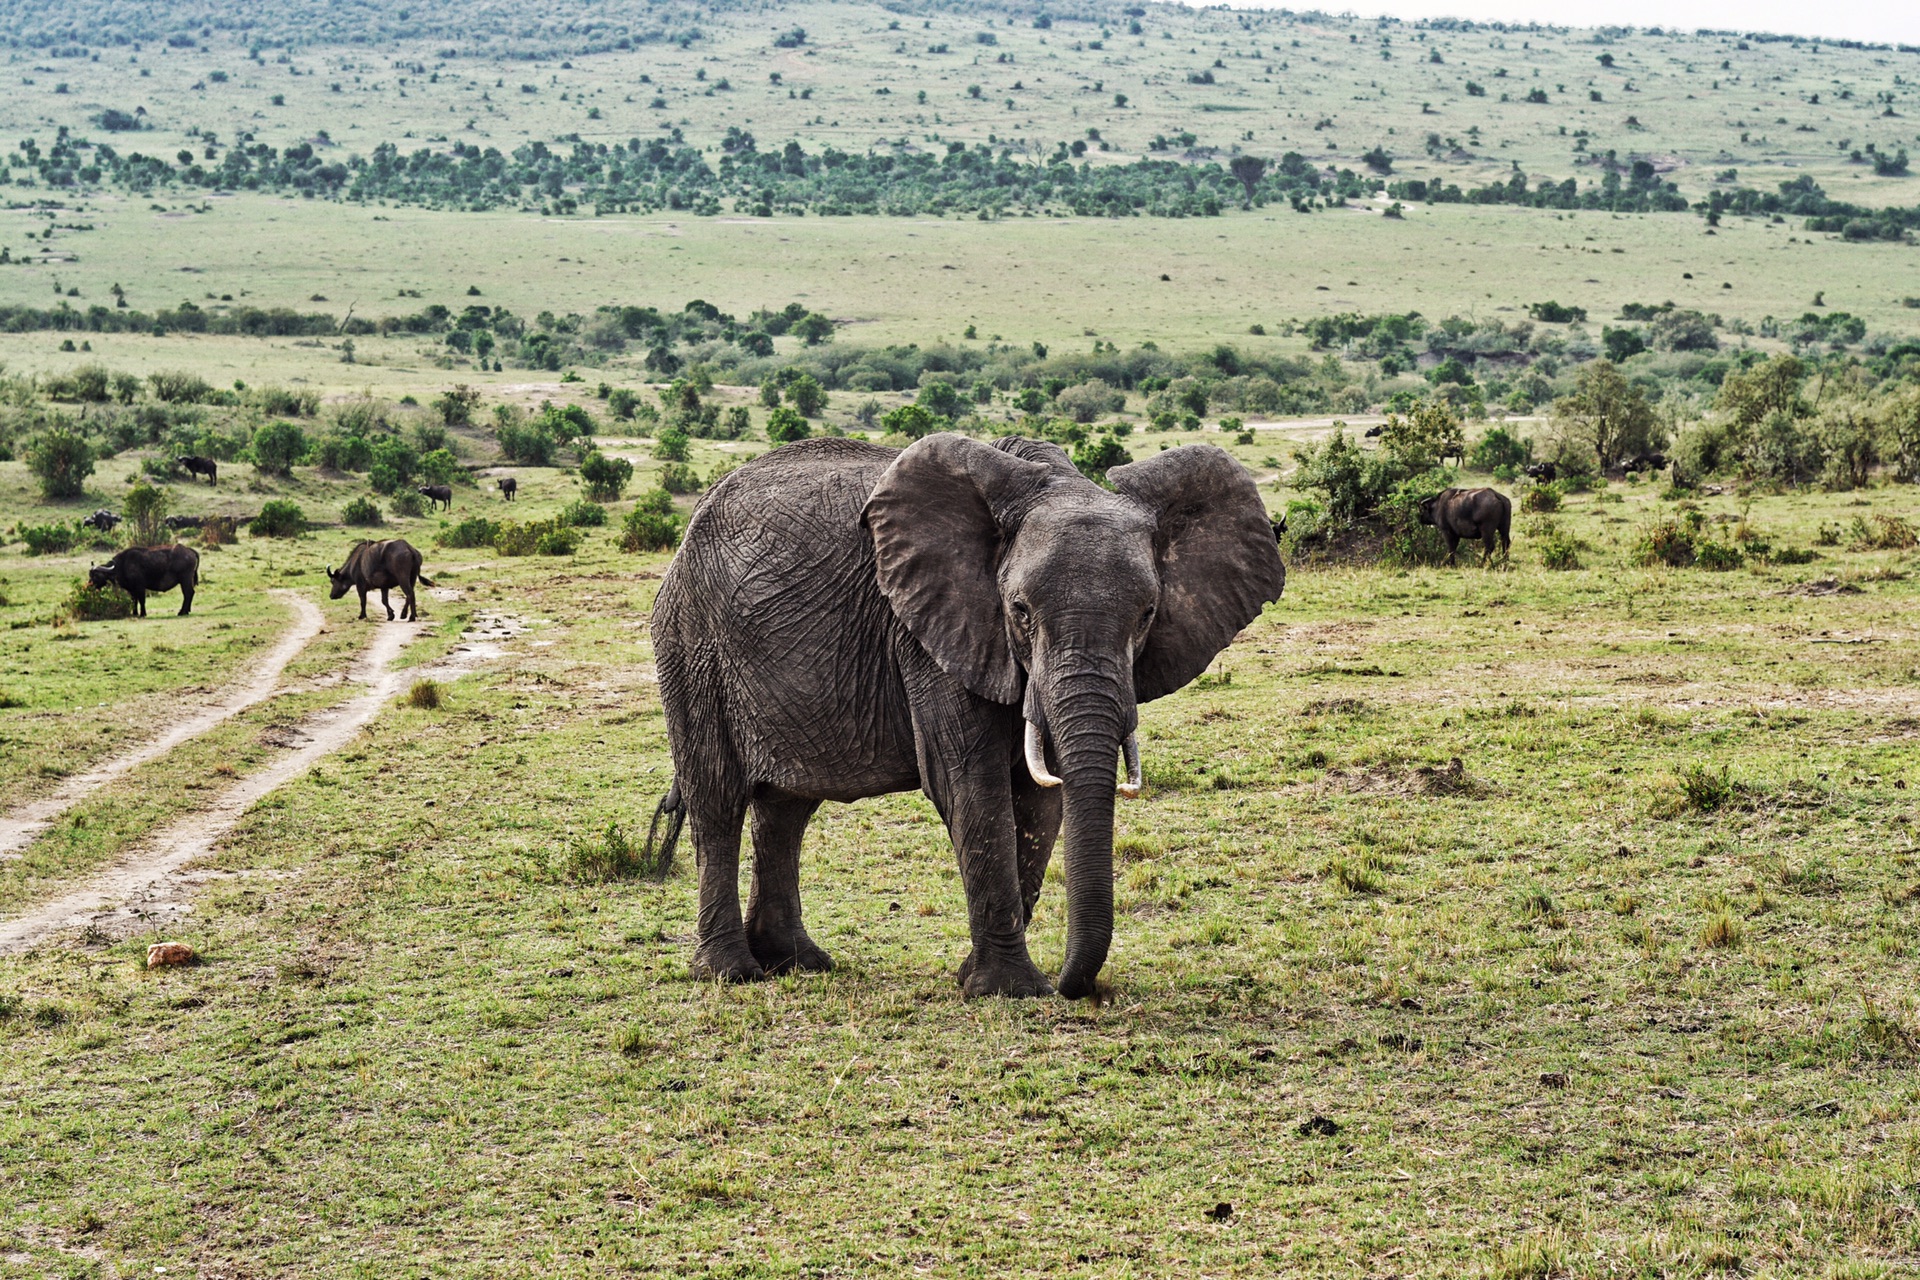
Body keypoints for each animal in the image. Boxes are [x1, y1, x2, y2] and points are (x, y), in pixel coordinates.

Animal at [648, 437, 1290, 997]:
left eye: (1149, 614)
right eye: (1020, 611)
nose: (1074, 986)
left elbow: (1041, 796)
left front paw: (979, 978)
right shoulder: (925, 633)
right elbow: (969, 785)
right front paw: (1010, 990)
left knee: (786, 808)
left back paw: (798, 962)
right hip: (690, 642)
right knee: (717, 798)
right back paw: (733, 973)